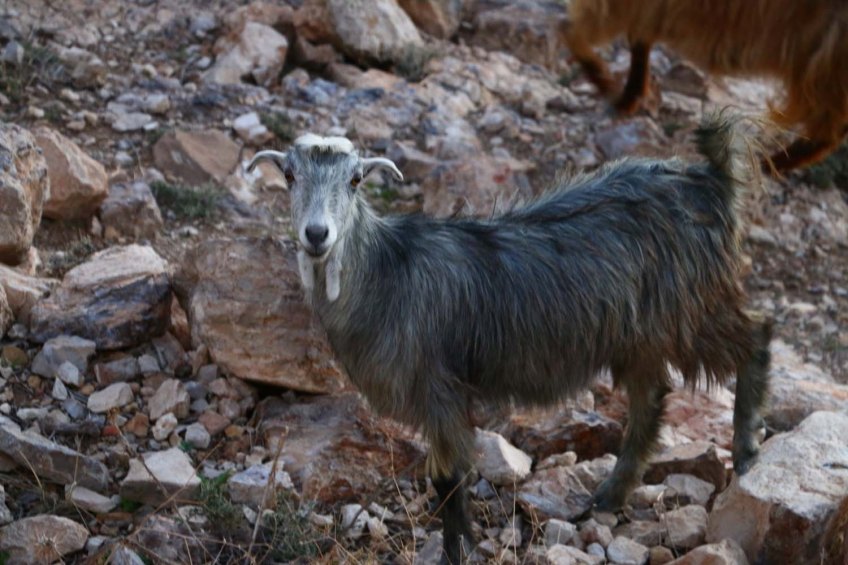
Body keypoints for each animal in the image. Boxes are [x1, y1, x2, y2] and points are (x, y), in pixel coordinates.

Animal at [247, 116, 772, 564]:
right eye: (289, 175)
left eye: (355, 180)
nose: (317, 234)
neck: (388, 270)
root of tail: (712, 177)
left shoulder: (439, 389)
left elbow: (448, 482)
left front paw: (457, 552)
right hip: (640, 334)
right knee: (651, 397)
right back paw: (609, 496)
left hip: (691, 308)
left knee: (757, 335)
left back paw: (746, 449)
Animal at [561, 0, 848, 173]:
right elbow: (637, 40)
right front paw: (629, 93)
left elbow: (575, 32)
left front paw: (610, 87)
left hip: (824, 62)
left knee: (829, 129)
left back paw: (771, 164)